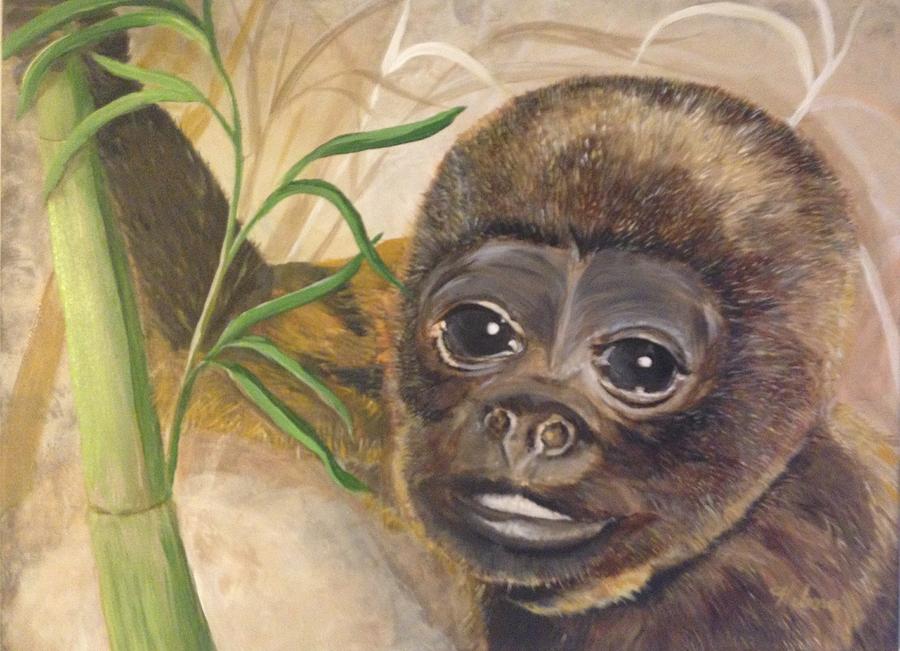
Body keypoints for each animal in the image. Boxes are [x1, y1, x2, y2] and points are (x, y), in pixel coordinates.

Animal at [7, 24, 897, 651]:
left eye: (642, 365)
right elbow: (227, 320)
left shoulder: (782, 570)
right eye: (479, 330)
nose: (529, 419)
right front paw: (77, 43)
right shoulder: (379, 325)